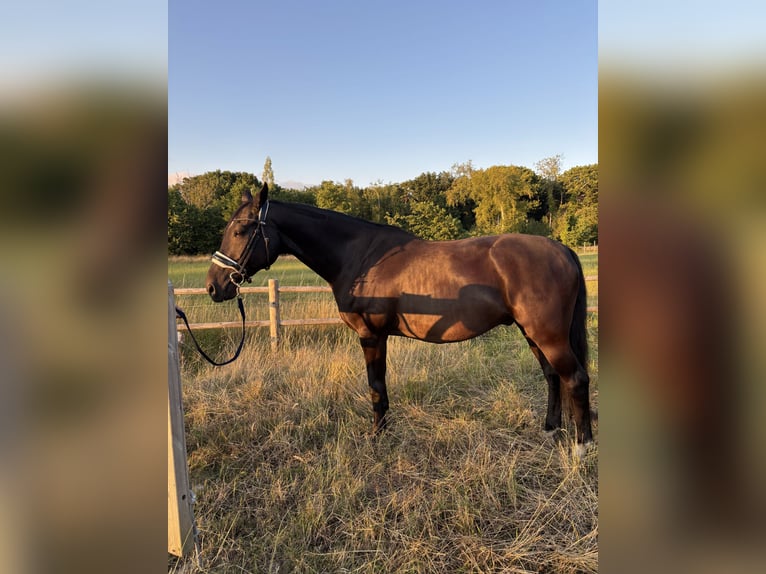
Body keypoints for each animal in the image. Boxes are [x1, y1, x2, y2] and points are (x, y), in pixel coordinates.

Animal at [206, 184, 593, 452]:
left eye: (240, 231)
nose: (214, 286)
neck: (361, 257)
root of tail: (562, 249)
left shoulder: (371, 335)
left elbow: (376, 385)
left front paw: (377, 434)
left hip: (548, 335)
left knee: (575, 378)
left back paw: (582, 445)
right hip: (532, 333)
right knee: (552, 377)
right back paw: (551, 429)